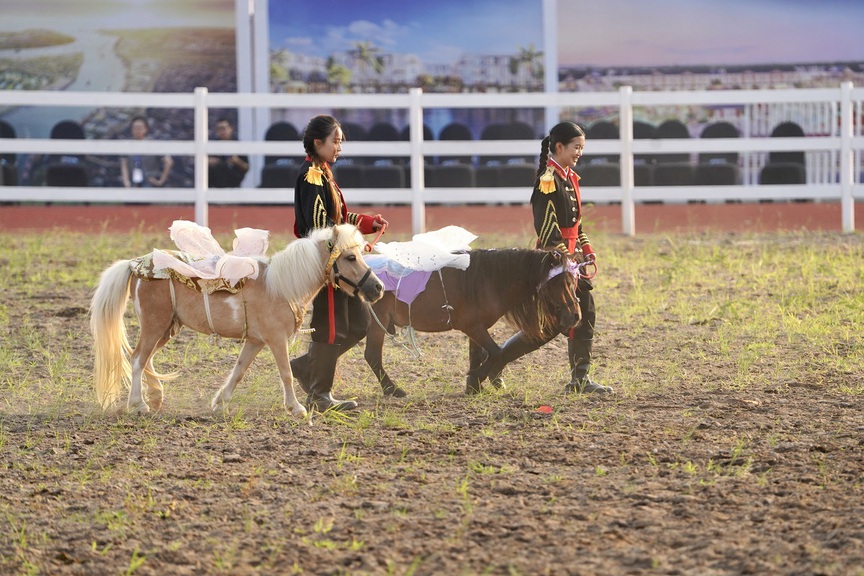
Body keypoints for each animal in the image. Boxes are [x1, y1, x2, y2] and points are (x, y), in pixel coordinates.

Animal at [89, 223, 384, 416]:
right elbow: (286, 374)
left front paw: (220, 402)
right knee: (138, 358)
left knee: (145, 358)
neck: (279, 285)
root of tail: (136, 264)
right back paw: (138, 404)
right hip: (154, 325)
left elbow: (239, 370)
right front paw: (296, 408)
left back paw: (156, 396)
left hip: (167, 328)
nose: (378, 288)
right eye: (350, 257)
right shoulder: (276, 339)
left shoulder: (255, 341)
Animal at [364, 248, 580, 396]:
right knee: (372, 356)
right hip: (377, 323)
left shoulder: (477, 329)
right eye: (559, 283)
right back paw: (392, 389)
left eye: (575, 281)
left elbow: (478, 355)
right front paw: (476, 380)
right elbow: (496, 352)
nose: (575, 316)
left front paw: (474, 385)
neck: (487, 280)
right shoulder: (472, 327)